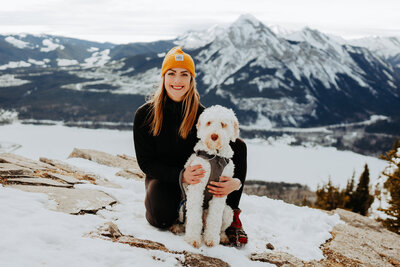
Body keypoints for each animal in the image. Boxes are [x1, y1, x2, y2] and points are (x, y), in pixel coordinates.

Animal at [178, 105, 238, 249]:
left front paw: (211, 239)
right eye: (209, 122)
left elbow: (215, 218)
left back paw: (222, 237)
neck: (215, 156)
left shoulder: (220, 190)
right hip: (182, 209)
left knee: (220, 227)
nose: (214, 136)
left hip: (228, 212)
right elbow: (194, 217)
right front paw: (193, 239)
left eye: (223, 124)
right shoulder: (197, 185)